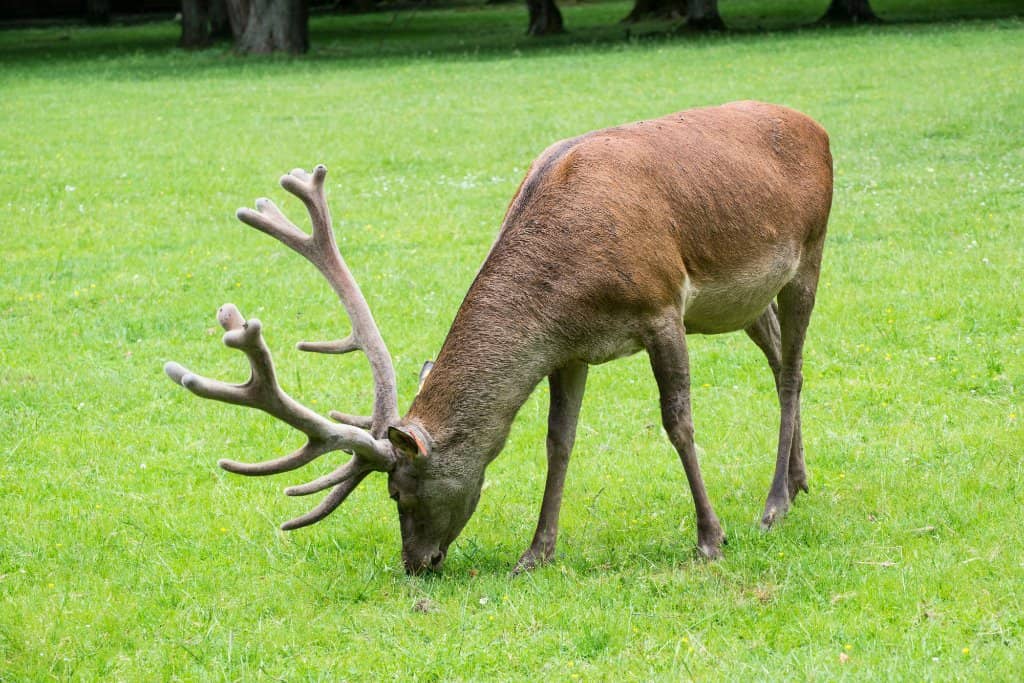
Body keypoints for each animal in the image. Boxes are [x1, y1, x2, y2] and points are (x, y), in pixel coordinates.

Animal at [165, 101, 833, 575]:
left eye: (398, 492)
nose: (416, 566)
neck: (568, 285)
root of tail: (816, 126)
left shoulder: (663, 307)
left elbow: (678, 422)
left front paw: (710, 539)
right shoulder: (571, 349)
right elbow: (558, 442)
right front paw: (536, 553)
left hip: (810, 252)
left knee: (794, 368)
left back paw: (774, 503)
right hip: (742, 302)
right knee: (778, 356)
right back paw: (799, 480)